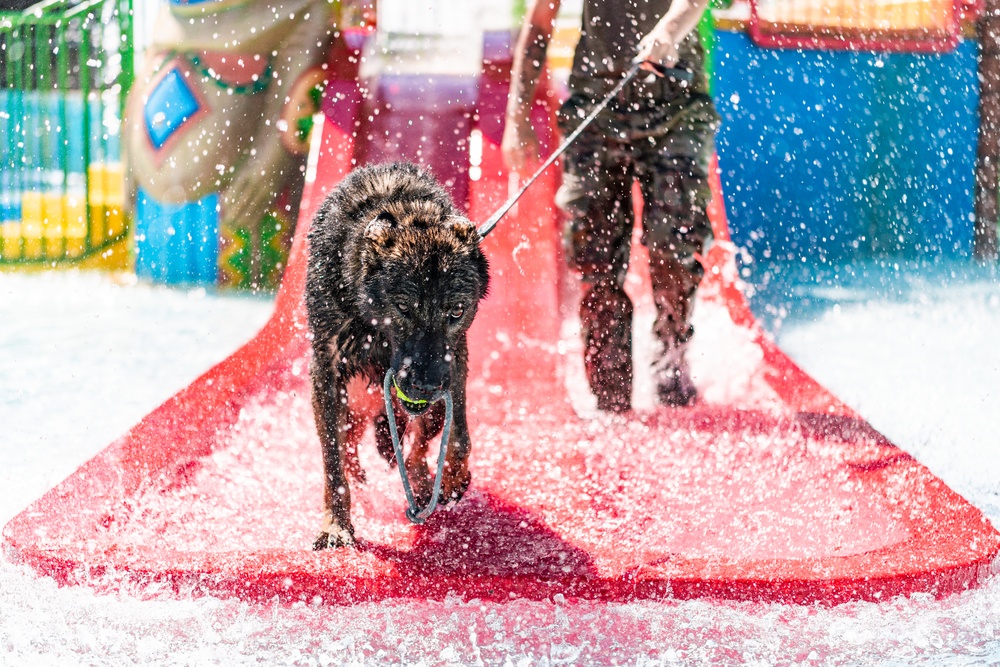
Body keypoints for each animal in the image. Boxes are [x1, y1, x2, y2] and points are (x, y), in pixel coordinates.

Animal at [306, 162, 490, 548]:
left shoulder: (456, 359)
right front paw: (336, 524)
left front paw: (452, 476)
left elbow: (460, 436)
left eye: (456, 310)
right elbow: (332, 458)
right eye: (404, 307)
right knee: (350, 442)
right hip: (353, 399)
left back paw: (422, 483)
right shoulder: (325, 366)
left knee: (419, 444)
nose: (425, 387)